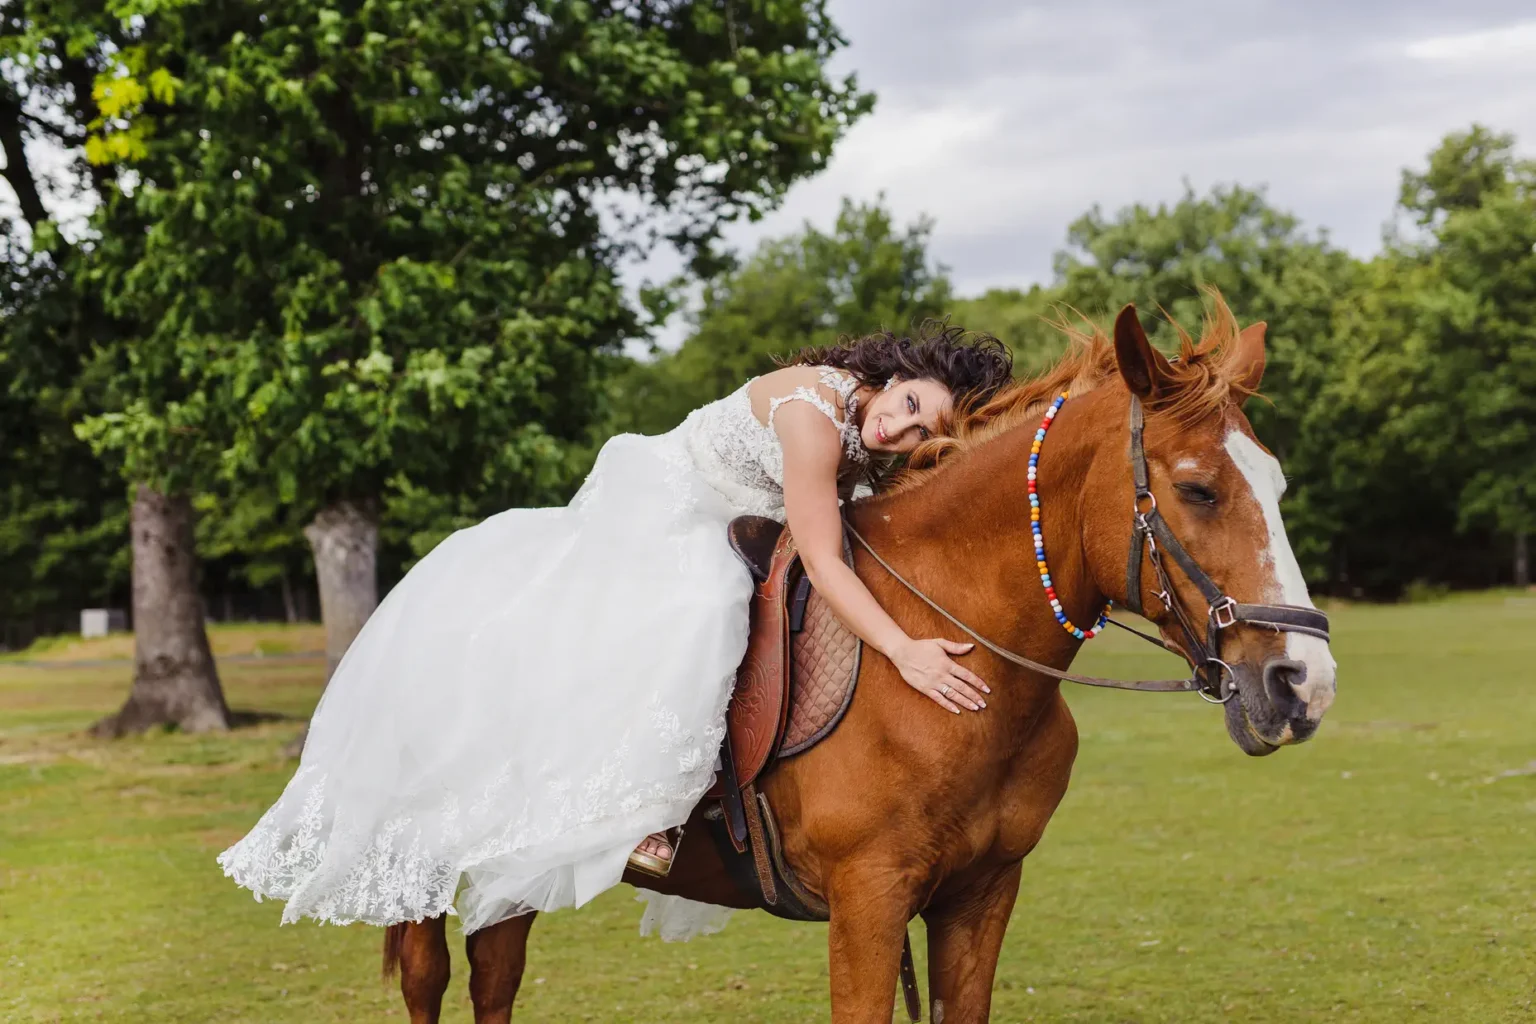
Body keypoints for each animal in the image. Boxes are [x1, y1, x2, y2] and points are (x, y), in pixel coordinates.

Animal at [381, 299, 1338, 1023]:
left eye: (1278, 485)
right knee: (433, 978)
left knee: (496, 972)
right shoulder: (868, 903)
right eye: (1198, 488)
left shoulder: (980, 898)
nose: (1303, 684)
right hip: (428, 854)